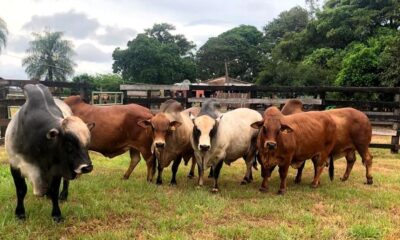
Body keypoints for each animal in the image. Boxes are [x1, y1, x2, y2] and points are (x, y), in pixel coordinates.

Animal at [5, 84, 94, 221]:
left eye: (87, 144)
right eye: (69, 143)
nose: (87, 167)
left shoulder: (57, 169)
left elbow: (54, 191)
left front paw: (56, 215)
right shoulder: (15, 165)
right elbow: (21, 190)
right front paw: (20, 213)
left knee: (65, 181)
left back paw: (63, 195)